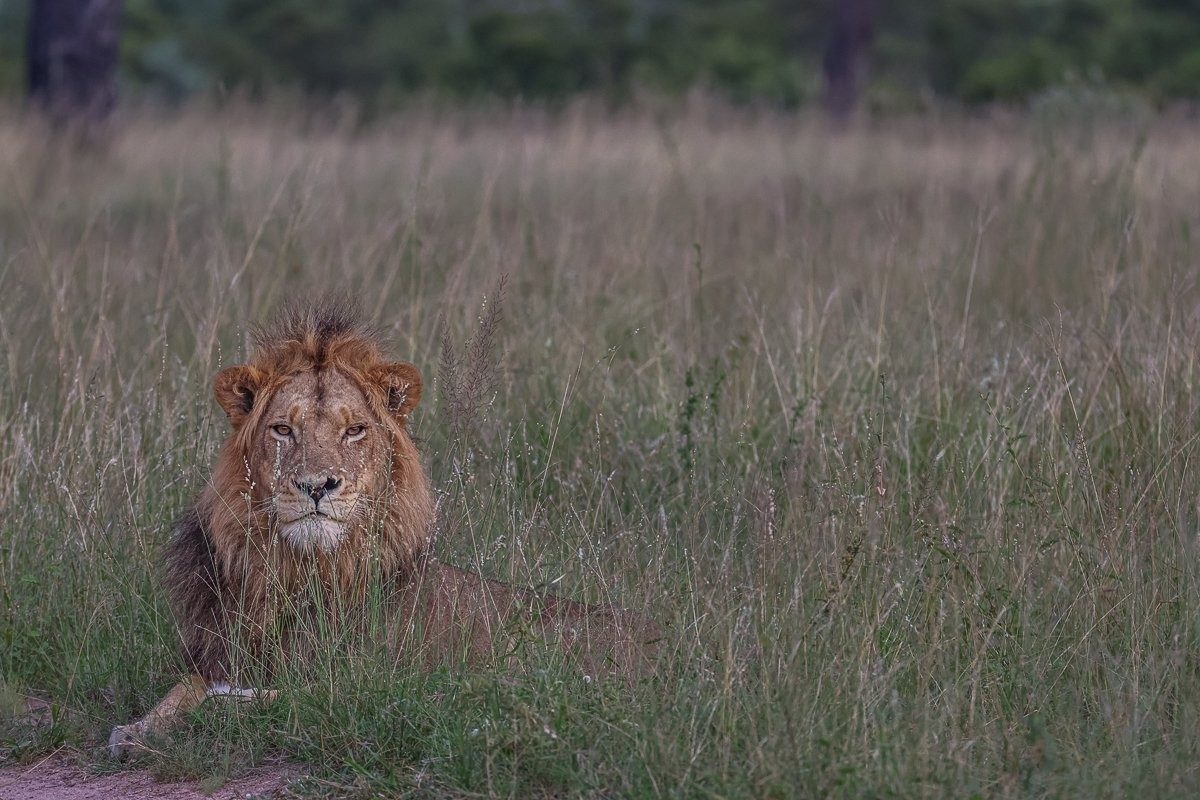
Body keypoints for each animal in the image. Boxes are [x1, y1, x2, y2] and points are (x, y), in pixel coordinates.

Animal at [108, 301, 661, 756]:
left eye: (355, 430)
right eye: (283, 429)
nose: (316, 486)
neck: (299, 571)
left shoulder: (356, 684)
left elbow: (243, 699)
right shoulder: (220, 655)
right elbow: (183, 690)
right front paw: (136, 730)